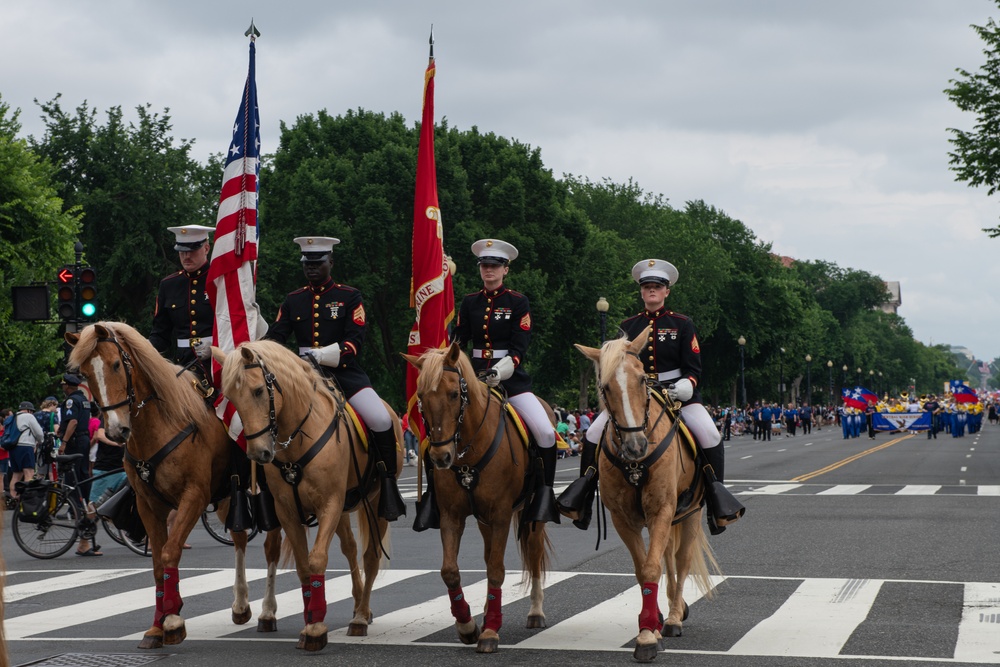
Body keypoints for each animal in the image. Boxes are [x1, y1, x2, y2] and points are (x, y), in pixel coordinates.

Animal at [65, 322, 282, 648]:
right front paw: (158, 624)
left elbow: (170, 551)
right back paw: (241, 606)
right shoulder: (148, 504)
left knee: (271, 546)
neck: (162, 425)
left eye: (115, 364)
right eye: (85, 373)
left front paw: (173, 620)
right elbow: (157, 561)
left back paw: (267, 612)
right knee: (240, 539)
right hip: (226, 498)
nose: (116, 431)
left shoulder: (193, 497)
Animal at [221, 340, 400, 652]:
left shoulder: (329, 503)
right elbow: (304, 566)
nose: (258, 454)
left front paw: (316, 628)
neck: (299, 436)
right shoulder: (288, 511)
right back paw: (358, 606)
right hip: (344, 508)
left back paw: (360, 618)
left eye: (258, 391)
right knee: (351, 548)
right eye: (231, 396)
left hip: (376, 503)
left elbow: (317, 559)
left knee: (370, 557)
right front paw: (311, 620)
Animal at [400, 342, 556, 656]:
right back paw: (485, 613)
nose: (441, 457)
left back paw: (534, 612)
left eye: (453, 393)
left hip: (531, 513)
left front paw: (490, 632)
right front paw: (467, 625)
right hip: (484, 520)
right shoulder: (452, 515)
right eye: (421, 396)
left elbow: (497, 570)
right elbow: (450, 571)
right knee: (487, 556)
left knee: (533, 554)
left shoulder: (501, 515)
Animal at [580, 328, 720, 664]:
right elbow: (643, 568)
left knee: (681, 560)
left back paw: (674, 616)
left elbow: (653, 567)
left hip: (691, 513)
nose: (636, 446)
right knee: (668, 557)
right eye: (605, 386)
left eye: (643, 379)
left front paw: (648, 634)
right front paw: (649, 626)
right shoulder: (624, 519)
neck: (635, 464)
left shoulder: (661, 510)